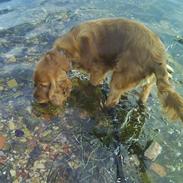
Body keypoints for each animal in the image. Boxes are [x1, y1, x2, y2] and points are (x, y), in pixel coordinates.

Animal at [33, 18, 183, 121]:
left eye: (44, 85)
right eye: (35, 84)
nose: (35, 98)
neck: (65, 53)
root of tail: (158, 58)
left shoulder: (98, 71)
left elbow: (93, 83)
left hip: (118, 78)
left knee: (113, 100)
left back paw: (103, 108)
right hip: (147, 84)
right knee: (143, 98)